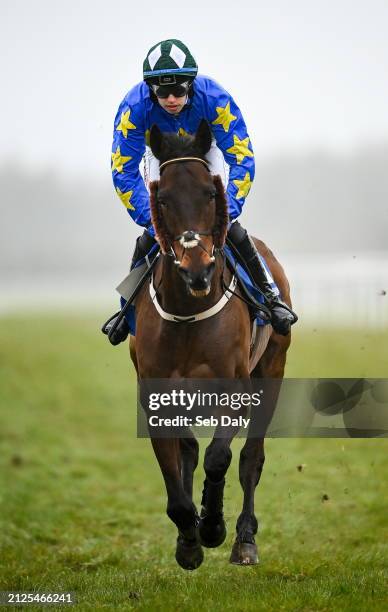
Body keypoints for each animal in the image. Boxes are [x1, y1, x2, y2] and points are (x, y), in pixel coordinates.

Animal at [129, 122, 292, 572]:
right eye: (162, 198)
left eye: (210, 194)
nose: (197, 269)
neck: (188, 312)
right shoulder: (156, 398)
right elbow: (175, 475)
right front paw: (189, 538)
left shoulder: (236, 392)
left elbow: (221, 458)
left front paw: (213, 526)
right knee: (189, 450)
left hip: (273, 370)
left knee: (251, 459)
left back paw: (244, 539)